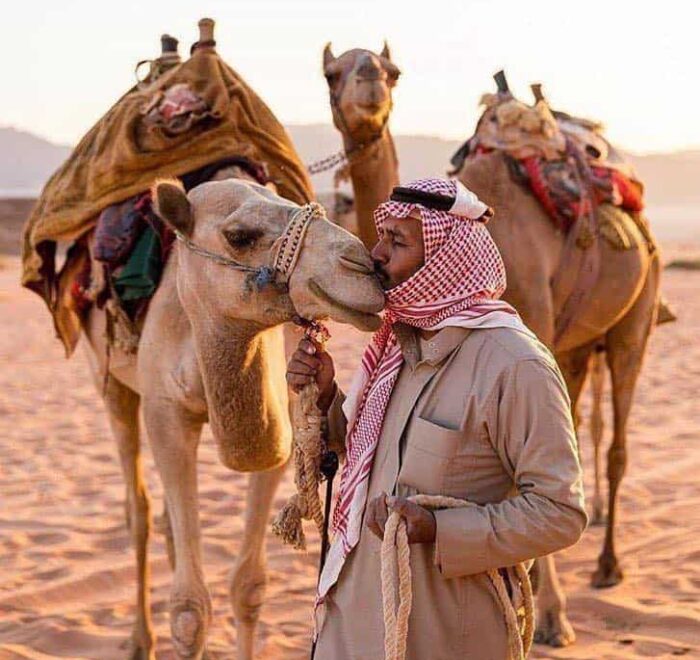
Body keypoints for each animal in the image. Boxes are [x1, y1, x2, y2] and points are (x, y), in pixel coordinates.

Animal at [82, 172, 384, 659]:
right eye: (239, 236)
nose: (362, 265)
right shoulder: (165, 414)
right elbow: (188, 611)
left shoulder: (279, 425)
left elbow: (249, 586)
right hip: (109, 383)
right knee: (138, 511)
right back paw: (139, 640)